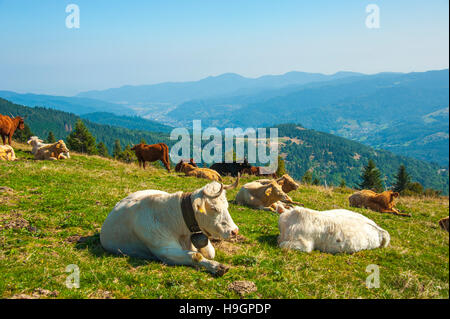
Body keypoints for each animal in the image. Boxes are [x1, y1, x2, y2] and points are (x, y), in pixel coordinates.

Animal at [99, 176, 239, 276]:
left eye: (227, 205)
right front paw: (216, 266)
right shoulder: (163, 250)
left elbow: (210, 253)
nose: (235, 231)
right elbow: (195, 255)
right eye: (214, 208)